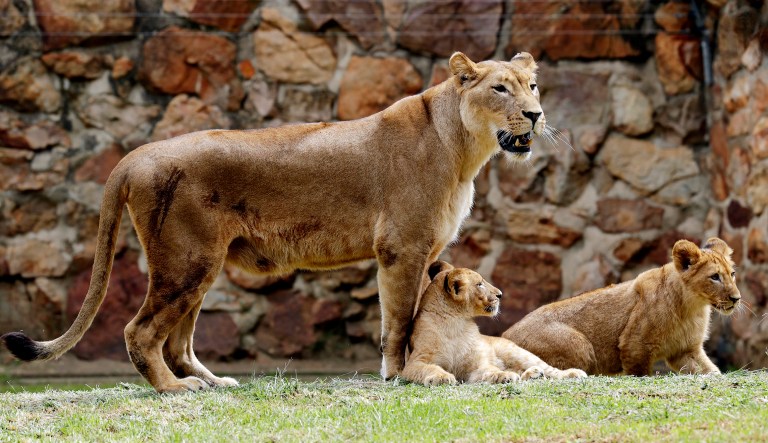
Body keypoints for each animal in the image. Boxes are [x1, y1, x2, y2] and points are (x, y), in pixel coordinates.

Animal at [1, 51, 548, 393]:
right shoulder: (402, 248)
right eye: (501, 88)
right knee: (140, 332)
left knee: (176, 341)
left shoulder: (426, 252)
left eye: (533, 86)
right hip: (186, 263)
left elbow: (413, 317)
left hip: (197, 268)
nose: (536, 115)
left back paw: (213, 384)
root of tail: (134, 156)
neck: (464, 150)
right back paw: (174, 389)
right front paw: (398, 374)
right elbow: (398, 323)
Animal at [402, 261, 587, 385]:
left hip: (516, 352)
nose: (500, 294)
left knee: (548, 369)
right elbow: (429, 368)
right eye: (479, 284)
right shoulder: (414, 362)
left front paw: (502, 376)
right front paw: (441, 377)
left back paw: (570, 373)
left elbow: (490, 369)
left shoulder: (476, 366)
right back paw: (532, 374)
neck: (456, 323)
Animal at [503, 238, 741, 376]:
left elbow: (711, 371)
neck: (693, 306)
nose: (736, 298)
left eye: (732, 274)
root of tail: (505, 335)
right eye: (715, 277)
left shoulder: (686, 350)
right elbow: (640, 373)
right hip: (580, 346)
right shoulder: (634, 346)